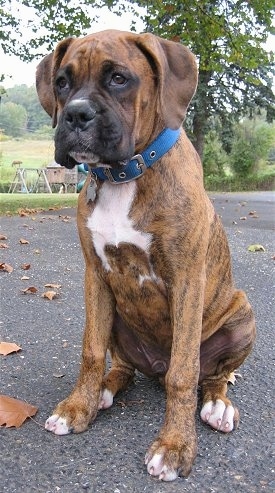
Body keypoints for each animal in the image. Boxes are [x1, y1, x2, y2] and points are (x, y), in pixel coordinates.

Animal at [36, 29, 256, 480]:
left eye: (119, 78)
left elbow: (184, 373)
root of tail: (154, 367)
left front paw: (174, 446)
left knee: (214, 375)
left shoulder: (187, 279)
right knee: (121, 366)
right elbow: (90, 351)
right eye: (62, 83)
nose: (76, 115)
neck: (124, 174)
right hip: (118, 316)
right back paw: (104, 391)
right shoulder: (94, 274)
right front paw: (78, 407)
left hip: (243, 314)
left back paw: (218, 406)